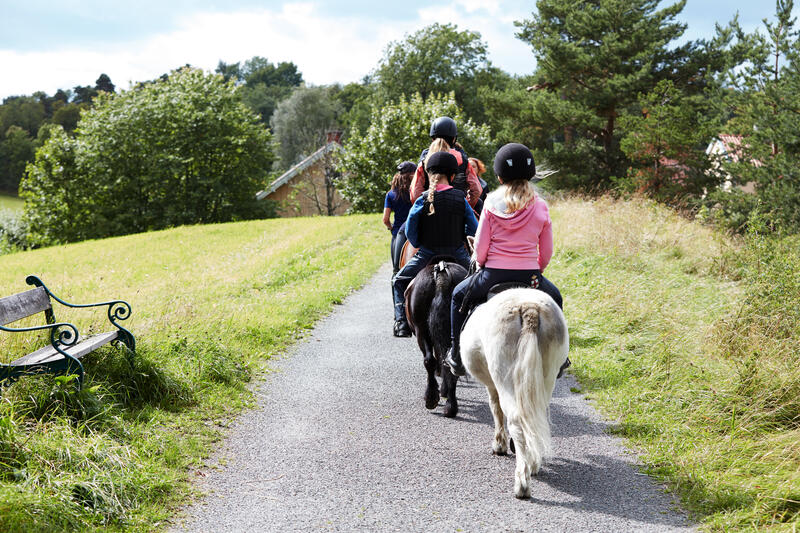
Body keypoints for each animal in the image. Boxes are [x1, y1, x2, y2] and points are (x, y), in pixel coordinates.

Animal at [406, 256, 468, 418]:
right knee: (451, 362)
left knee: (430, 360)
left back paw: (431, 398)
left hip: (422, 331)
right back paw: (450, 407)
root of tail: (441, 272)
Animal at [460, 286, 564, 498]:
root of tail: (529, 307)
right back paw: (533, 464)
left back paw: (522, 482)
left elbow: (495, 408)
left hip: (505, 377)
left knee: (517, 423)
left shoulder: (492, 385)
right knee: (534, 417)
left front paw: (499, 445)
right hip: (545, 376)